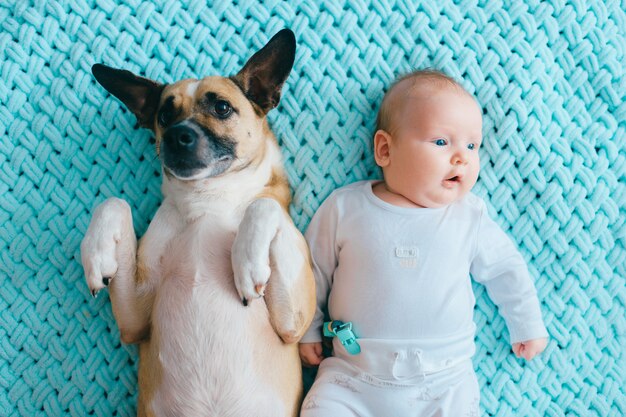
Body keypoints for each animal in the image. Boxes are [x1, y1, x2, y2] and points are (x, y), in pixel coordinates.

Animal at [81, 30, 316, 416]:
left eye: (221, 107)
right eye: (164, 114)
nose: (177, 135)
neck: (208, 200)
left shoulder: (293, 324)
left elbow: (264, 203)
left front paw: (246, 260)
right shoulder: (134, 323)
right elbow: (114, 201)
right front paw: (97, 252)